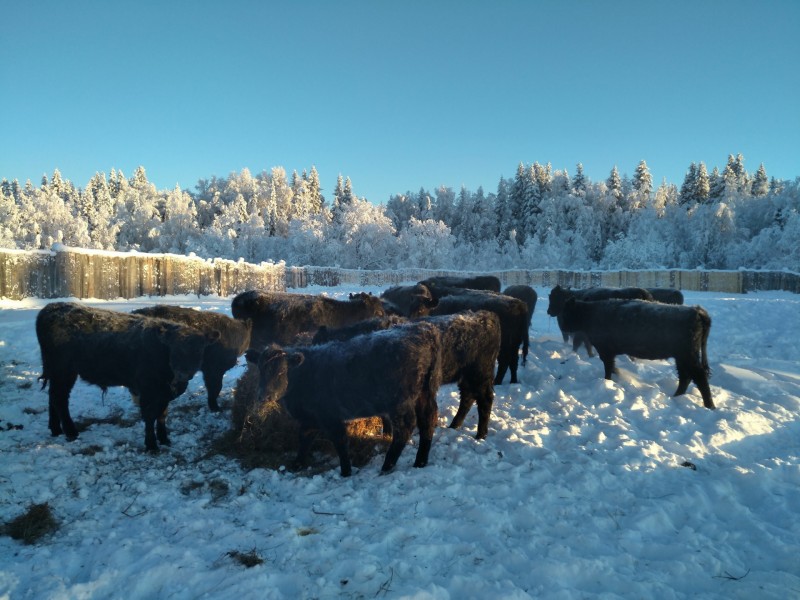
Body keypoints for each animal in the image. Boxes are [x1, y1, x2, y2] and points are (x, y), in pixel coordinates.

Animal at [255, 322, 444, 476]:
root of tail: (422, 329)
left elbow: (340, 441)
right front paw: (297, 464)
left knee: (405, 428)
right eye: (260, 371)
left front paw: (346, 471)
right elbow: (304, 439)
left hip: (400, 401)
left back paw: (387, 466)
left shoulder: (330, 416)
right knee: (428, 419)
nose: (264, 395)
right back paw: (420, 462)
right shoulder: (310, 417)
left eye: (281, 371)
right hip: (425, 392)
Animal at [312, 312, 500, 438]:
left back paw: (480, 434)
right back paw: (454, 426)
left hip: (480, 374)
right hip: (466, 377)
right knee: (468, 398)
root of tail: (485, 316)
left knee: (485, 400)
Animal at [560, 298, 716, 410]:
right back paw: (676, 397)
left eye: (567, 313)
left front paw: (608, 382)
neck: (591, 313)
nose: (563, 326)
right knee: (685, 377)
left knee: (698, 377)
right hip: (681, 357)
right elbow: (613, 367)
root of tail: (697, 311)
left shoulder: (606, 351)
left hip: (688, 356)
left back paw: (710, 406)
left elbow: (608, 369)